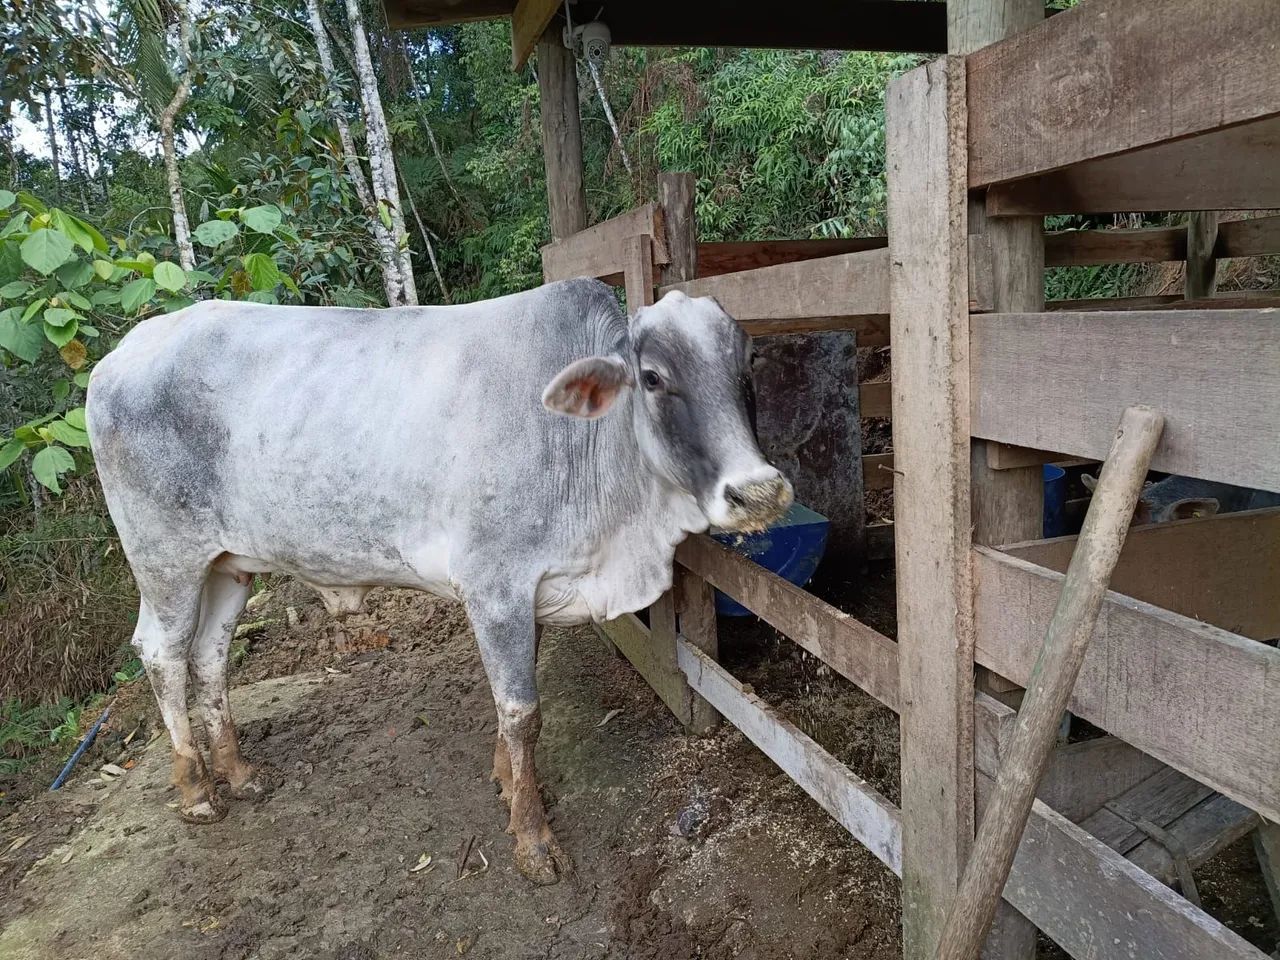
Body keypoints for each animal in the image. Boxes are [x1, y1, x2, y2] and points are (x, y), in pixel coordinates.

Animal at [86, 280, 792, 884]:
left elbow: (515, 708)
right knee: (163, 654)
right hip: (166, 561)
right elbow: (523, 712)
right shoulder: (495, 586)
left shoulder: (527, 595)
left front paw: (506, 782)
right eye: (652, 377)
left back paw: (238, 772)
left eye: (747, 366)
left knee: (209, 658)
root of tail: (121, 355)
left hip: (229, 565)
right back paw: (198, 791)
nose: (758, 491)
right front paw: (533, 841)